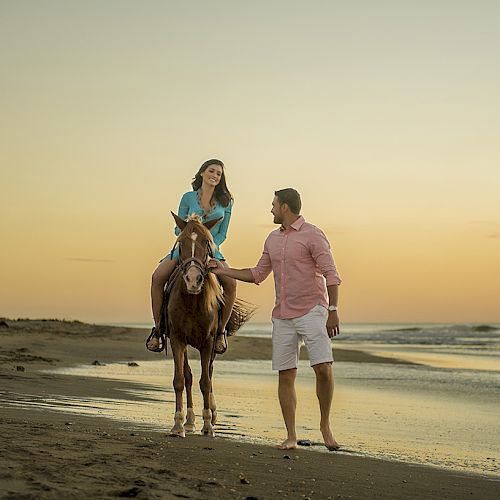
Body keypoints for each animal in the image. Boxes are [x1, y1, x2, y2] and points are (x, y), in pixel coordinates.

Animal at [165, 212, 254, 438]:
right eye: (180, 244)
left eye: (207, 242)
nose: (193, 279)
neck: (192, 302)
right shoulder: (177, 339)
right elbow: (180, 380)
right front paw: (178, 425)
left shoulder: (207, 342)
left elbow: (205, 382)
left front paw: (208, 425)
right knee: (188, 376)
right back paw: (189, 421)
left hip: (213, 345)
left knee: (210, 374)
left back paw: (211, 415)